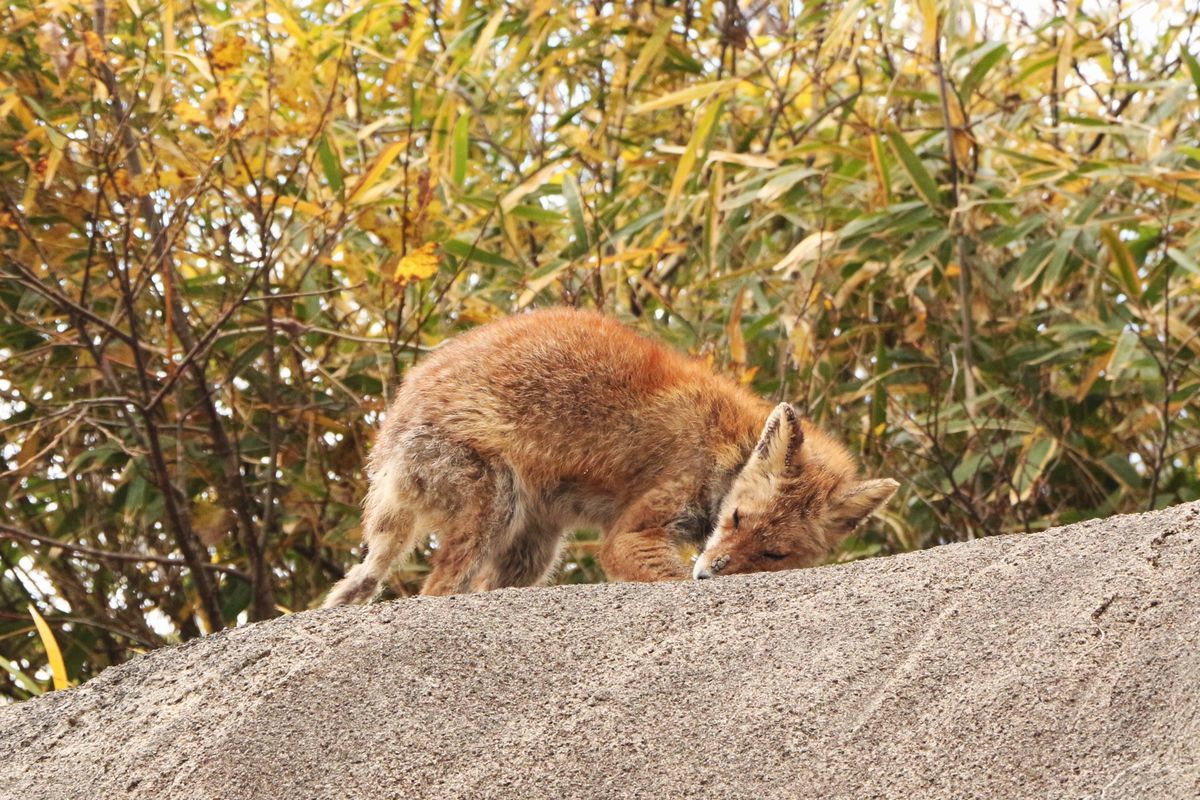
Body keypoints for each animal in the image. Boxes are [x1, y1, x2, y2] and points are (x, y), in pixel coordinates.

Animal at [324, 309, 897, 606]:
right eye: (736, 519)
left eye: (774, 554)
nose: (711, 574)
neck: (726, 444)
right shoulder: (632, 532)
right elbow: (658, 572)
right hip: (495, 509)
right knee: (435, 589)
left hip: (532, 550)